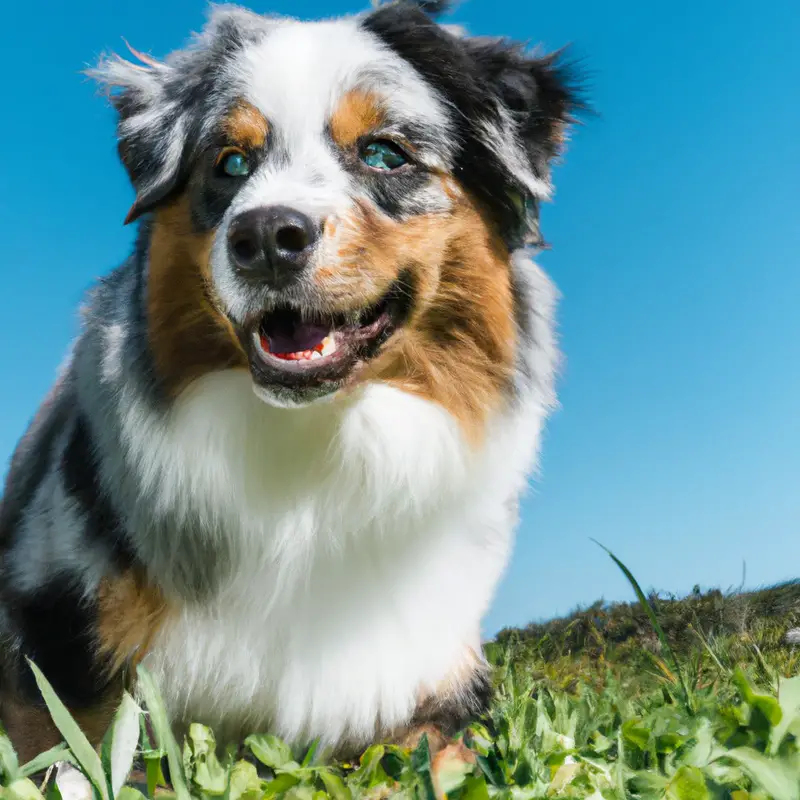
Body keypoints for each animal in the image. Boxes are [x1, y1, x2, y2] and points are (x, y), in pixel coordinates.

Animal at [0, 0, 580, 764]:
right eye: (230, 163)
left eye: (384, 153)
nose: (268, 236)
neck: (315, 452)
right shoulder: (57, 635)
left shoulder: (431, 681)